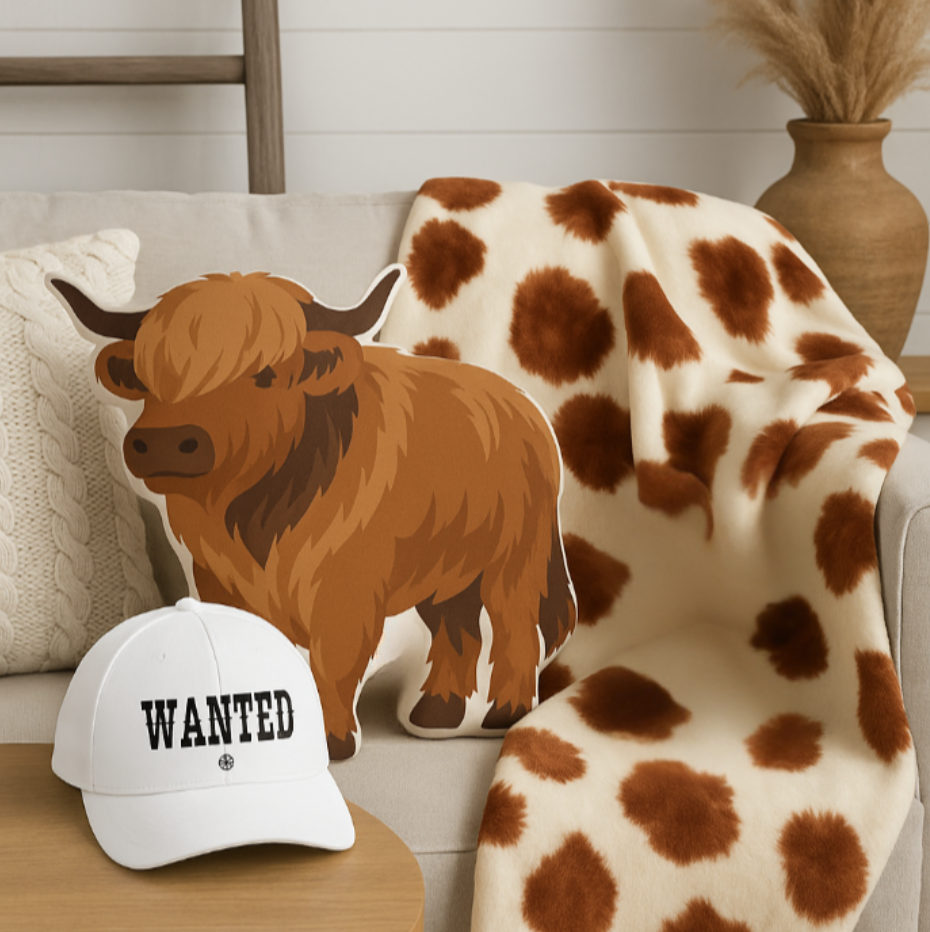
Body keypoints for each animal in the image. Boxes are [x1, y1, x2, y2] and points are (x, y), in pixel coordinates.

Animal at [49, 266, 576, 759]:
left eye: (265, 374)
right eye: (146, 378)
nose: (164, 443)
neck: (259, 513)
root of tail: (529, 412)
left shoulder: (346, 593)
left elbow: (334, 663)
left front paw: (331, 741)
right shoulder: (217, 578)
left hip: (516, 561)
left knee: (515, 629)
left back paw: (501, 714)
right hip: (446, 572)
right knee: (458, 630)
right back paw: (437, 712)